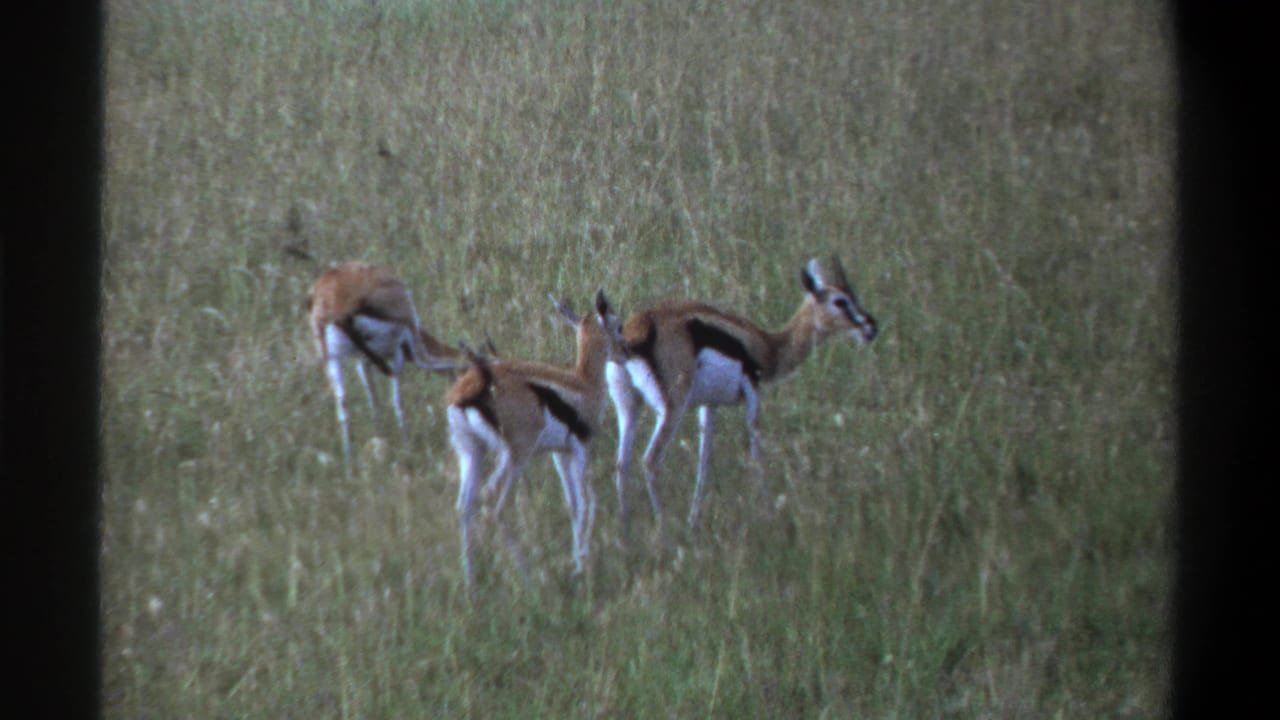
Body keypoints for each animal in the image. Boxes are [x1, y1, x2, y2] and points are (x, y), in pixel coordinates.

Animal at [307, 260, 466, 475]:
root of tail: (334, 301)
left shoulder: (364, 362)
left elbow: (375, 402)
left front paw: (379, 439)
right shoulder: (400, 350)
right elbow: (397, 400)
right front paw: (406, 446)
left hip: (332, 359)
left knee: (343, 403)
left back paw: (349, 464)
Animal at [446, 290, 623, 585]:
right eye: (618, 325)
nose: (628, 349)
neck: (584, 383)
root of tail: (474, 387)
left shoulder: (559, 454)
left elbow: (573, 504)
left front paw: (577, 560)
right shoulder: (580, 448)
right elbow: (587, 503)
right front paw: (581, 563)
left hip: (472, 452)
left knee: (464, 507)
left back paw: (471, 585)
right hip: (516, 457)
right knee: (493, 502)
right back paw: (530, 580)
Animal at [606, 256, 878, 540]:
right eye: (840, 301)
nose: (871, 327)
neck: (769, 346)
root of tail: (635, 333)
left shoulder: (709, 405)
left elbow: (704, 461)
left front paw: (694, 522)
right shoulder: (753, 393)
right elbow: (757, 453)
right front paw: (769, 517)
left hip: (628, 408)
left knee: (622, 465)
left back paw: (625, 538)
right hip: (673, 408)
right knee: (650, 462)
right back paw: (664, 533)